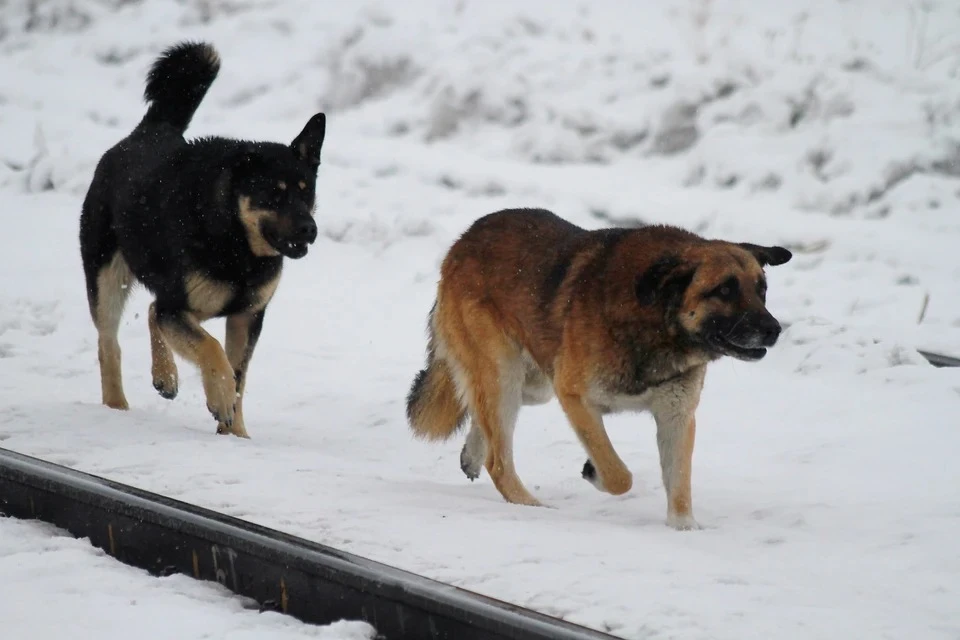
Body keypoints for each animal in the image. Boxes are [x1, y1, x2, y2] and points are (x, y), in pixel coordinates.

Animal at [79, 41, 326, 440]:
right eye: (274, 195)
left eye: (307, 193)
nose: (310, 229)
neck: (237, 242)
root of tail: (149, 131)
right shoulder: (182, 305)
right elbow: (213, 350)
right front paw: (220, 399)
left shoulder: (246, 316)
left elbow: (239, 374)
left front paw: (236, 434)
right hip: (107, 277)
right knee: (109, 343)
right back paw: (116, 406)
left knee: (152, 310)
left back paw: (165, 377)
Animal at [404, 208, 788, 528]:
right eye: (724, 290)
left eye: (762, 290)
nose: (774, 330)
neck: (656, 319)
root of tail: (463, 241)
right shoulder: (575, 397)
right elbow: (619, 475)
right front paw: (596, 473)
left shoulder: (676, 416)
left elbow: (679, 484)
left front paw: (684, 529)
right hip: (505, 374)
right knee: (498, 461)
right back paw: (532, 506)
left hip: (533, 383)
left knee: (481, 413)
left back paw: (473, 453)